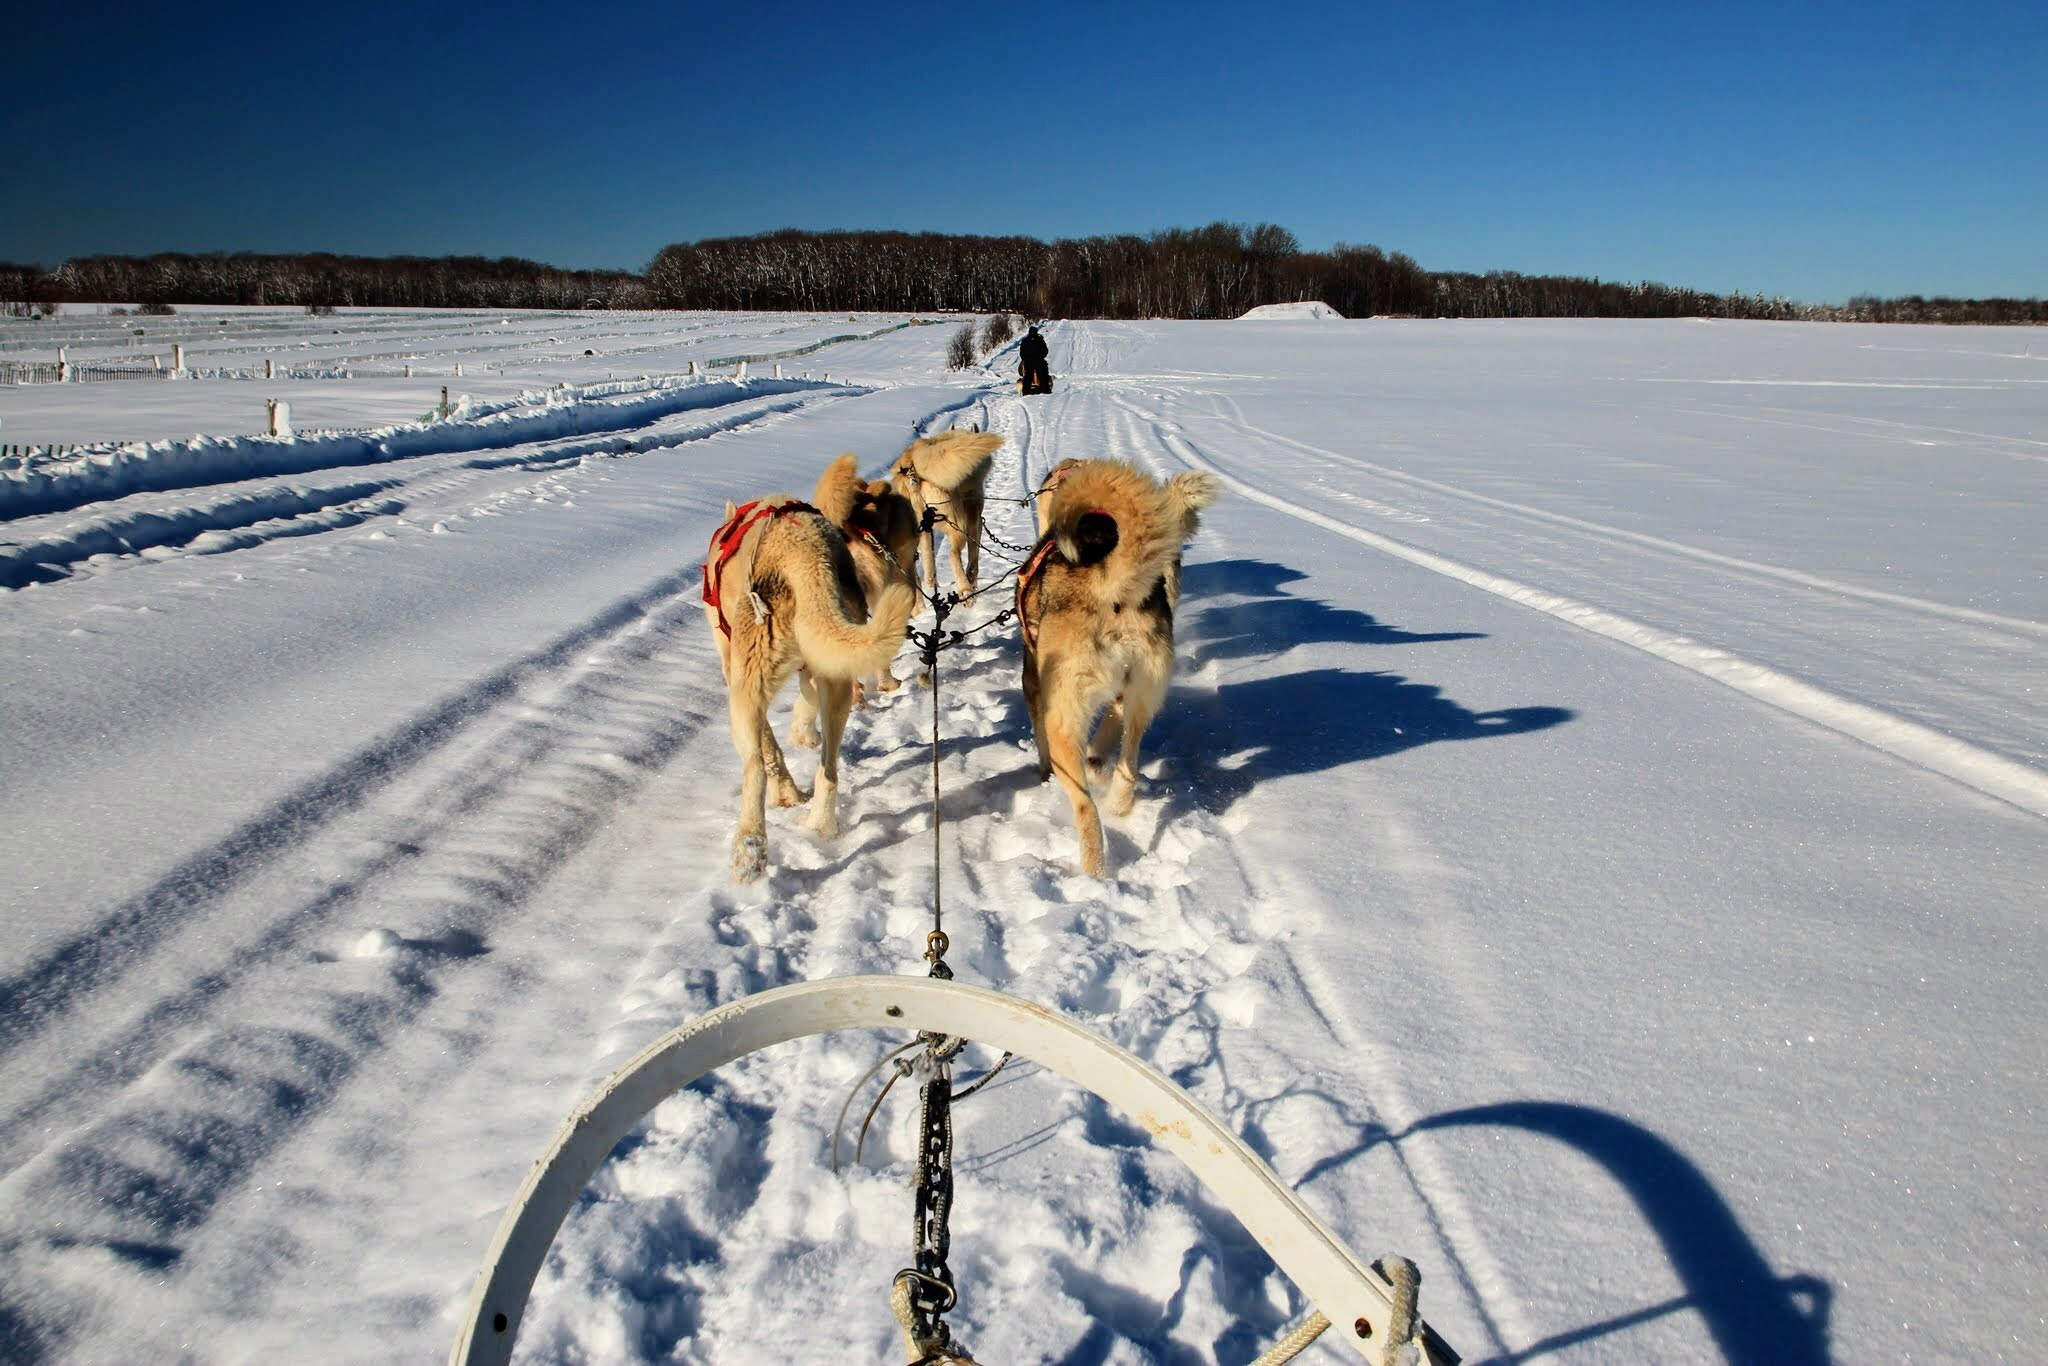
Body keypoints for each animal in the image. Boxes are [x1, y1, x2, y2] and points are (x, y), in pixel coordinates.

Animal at [700, 497, 917, 880]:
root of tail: (804, 555)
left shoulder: (734, 669)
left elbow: (769, 749)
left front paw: (786, 790)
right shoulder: (815, 669)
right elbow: (805, 705)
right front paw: (803, 735)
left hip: (744, 692)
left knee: (755, 767)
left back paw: (750, 848)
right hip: (836, 679)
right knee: (828, 771)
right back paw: (819, 824)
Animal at [888, 428, 999, 598]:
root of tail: (911, 462)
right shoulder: (974, 519)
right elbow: (973, 559)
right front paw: (972, 582)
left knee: (921, 572)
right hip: (957, 526)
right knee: (953, 555)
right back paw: (965, 591)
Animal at [1011, 458, 1212, 880]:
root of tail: (1110, 585)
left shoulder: (1033, 681)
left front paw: (1044, 773)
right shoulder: (1121, 696)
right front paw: (1098, 760)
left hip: (1063, 717)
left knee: (1085, 806)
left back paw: (1094, 872)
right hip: (1143, 696)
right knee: (1129, 761)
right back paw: (1118, 799)